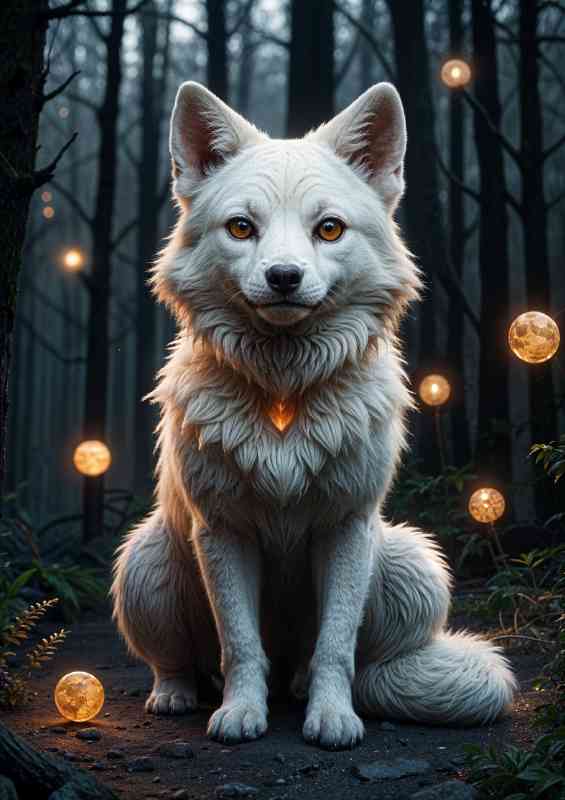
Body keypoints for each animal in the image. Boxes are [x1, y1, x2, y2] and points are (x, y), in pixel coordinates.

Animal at [111, 80, 516, 750]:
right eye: (241, 228)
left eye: (328, 229)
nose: (284, 277)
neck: (285, 393)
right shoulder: (223, 530)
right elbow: (240, 644)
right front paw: (240, 715)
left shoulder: (348, 526)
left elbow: (335, 646)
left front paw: (332, 718)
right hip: (149, 561)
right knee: (175, 661)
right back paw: (176, 696)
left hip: (410, 561)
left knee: (353, 661)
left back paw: (306, 691)